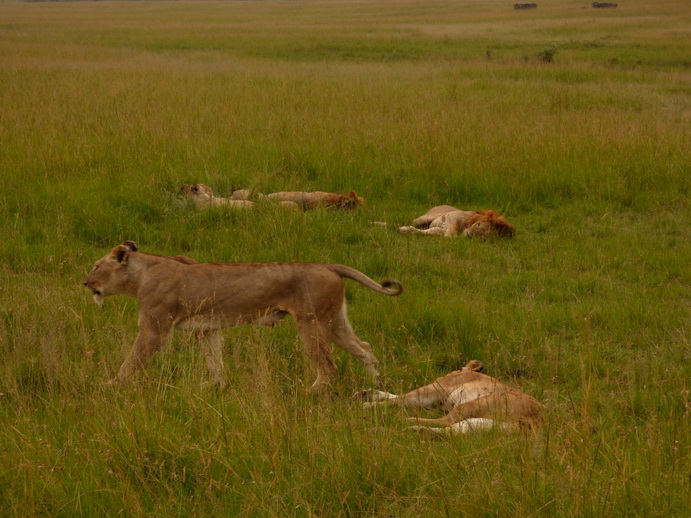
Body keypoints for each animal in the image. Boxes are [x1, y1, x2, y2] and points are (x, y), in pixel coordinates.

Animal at [83, 241, 403, 391]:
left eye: (96, 266)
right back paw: (377, 385)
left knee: (328, 366)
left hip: (311, 322)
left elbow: (132, 360)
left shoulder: (155, 327)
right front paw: (215, 387)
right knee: (364, 349)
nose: (85, 283)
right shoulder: (206, 329)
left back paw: (310, 392)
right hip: (334, 321)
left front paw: (112, 385)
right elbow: (214, 361)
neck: (140, 275)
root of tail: (328, 265)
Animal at [361, 360, 541, 435]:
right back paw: (415, 429)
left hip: (473, 404)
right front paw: (367, 393)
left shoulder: (434, 390)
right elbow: (399, 396)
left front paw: (369, 404)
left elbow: (402, 397)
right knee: (453, 431)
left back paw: (404, 421)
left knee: (445, 422)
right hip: (482, 422)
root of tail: (540, 418)